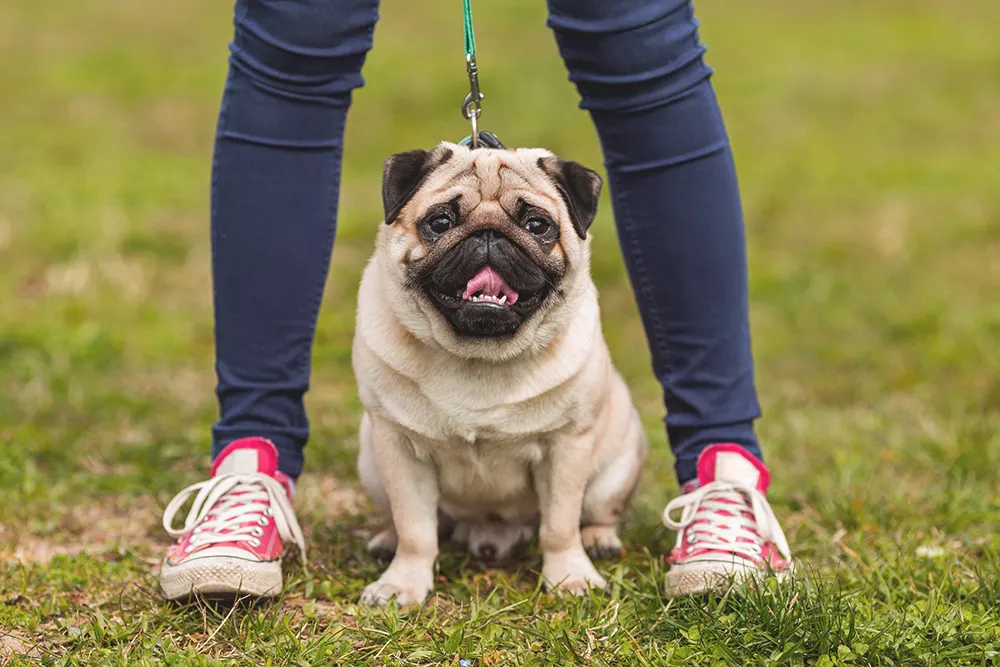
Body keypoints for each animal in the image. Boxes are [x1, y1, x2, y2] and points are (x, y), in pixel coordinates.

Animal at [352, 141, 648, 604]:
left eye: (537, 224)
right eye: (440, 222)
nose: (488, 234)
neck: (479, 354)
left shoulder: (565, 447)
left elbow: (560, 527)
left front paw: (570, 577)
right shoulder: (398, 447)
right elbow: (415, 529)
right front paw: (403, 583)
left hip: (617, 466)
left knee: (595, 513)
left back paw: (599, 539)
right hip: (371, 460)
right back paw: (387, 539)